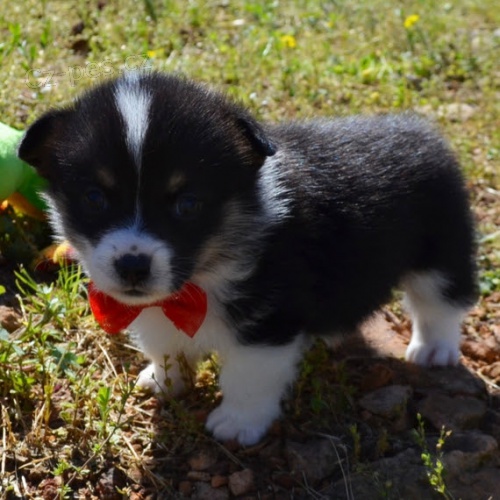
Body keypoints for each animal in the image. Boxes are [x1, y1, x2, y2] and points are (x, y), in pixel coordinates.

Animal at [18, 71, 476, 446]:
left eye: (187, 204)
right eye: (94, 198)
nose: (132, 266)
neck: (204, 275)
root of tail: (421, 130)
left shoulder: (268, 323)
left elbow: (247, 377)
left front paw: (237, 424)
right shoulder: (158, 309)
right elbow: (166, 347)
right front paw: (165, 382)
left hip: (443, 250)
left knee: (440, 303)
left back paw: (433, 350)